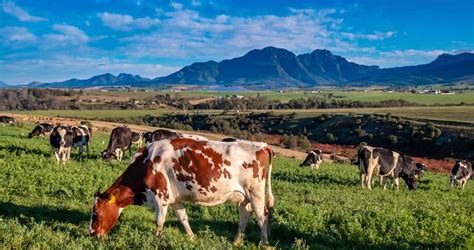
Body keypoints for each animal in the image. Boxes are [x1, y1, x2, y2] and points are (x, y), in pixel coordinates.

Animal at [90, 138, 274, 245]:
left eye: (96, 213)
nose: (91, 233)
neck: (146, 163)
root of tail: (262, 145)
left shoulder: (161, 197)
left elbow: (160, 221)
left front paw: (156, 241)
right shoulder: (175, 199)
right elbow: (183, 218)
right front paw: (192, 238)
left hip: (256, 193)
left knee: (262, 215)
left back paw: (264, 244)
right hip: (244, 197)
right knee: (245, 216)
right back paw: (235, 242)